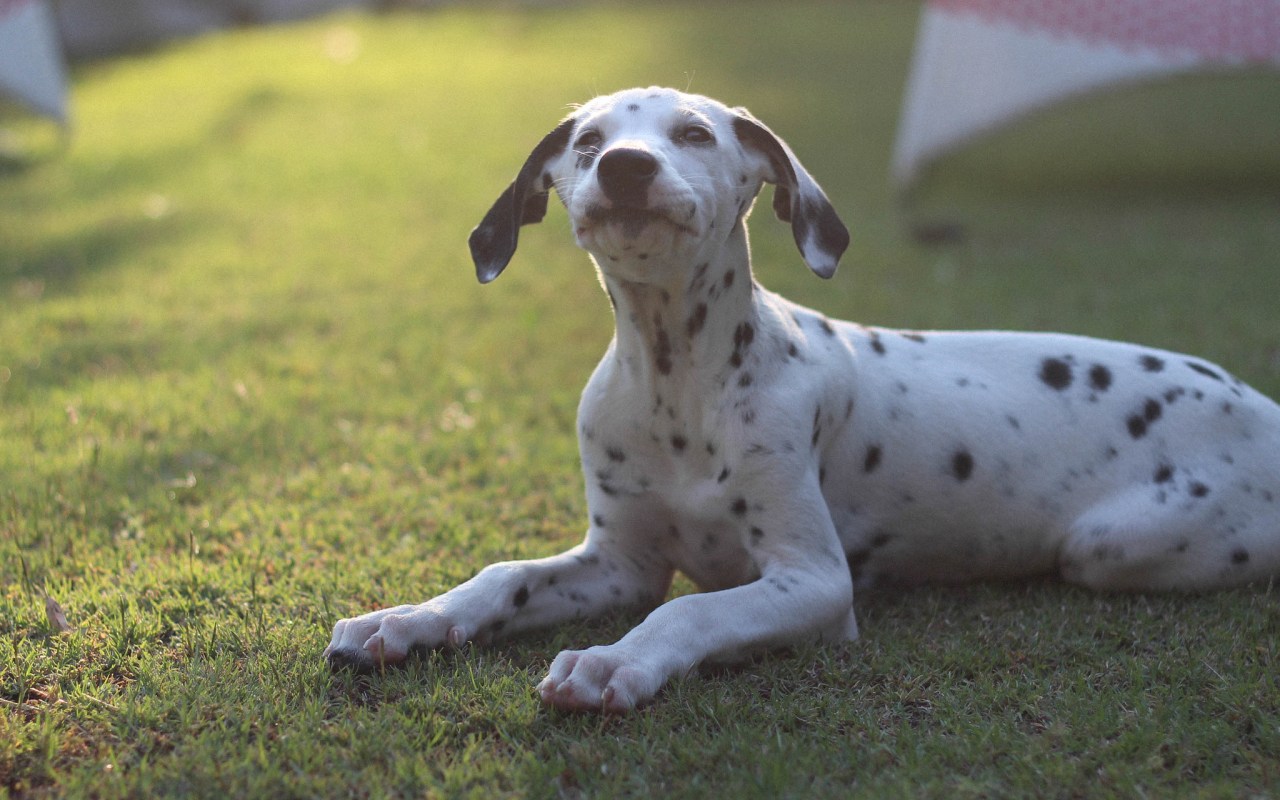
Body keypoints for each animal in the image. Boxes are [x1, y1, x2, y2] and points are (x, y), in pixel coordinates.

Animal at [325, 87, 1280, 711]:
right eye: (588, 141)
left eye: (694, 132)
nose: (626, 167)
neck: (677, 380)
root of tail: (1261, 404)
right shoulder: (618, 560)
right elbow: (505, 575)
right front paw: (410, 620)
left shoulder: (812, 580)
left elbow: (692, 606)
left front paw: (612, 662)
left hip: (1108, 545)